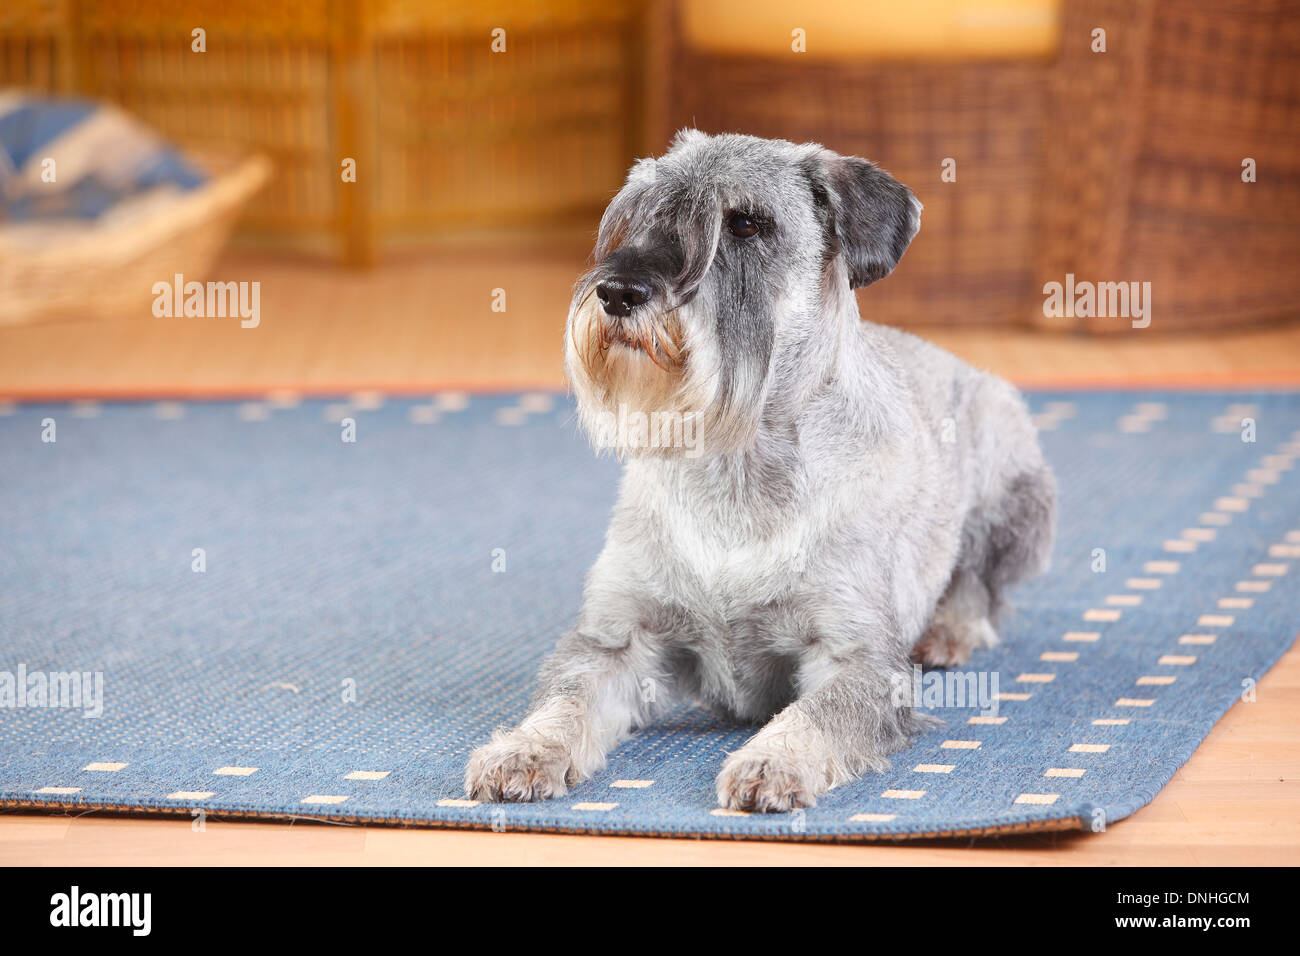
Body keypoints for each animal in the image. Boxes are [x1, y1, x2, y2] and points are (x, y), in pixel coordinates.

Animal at [467, 130, 1055, 811]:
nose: (618, 292)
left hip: (1011, 484)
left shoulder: (855, 658)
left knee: (980, 588)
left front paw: (772, 762)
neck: (736, 463)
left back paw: (948, 633)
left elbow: (815, 715)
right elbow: (568, 699)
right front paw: (525, 749)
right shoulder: (618, 639)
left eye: (746, 223)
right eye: (639, 215)